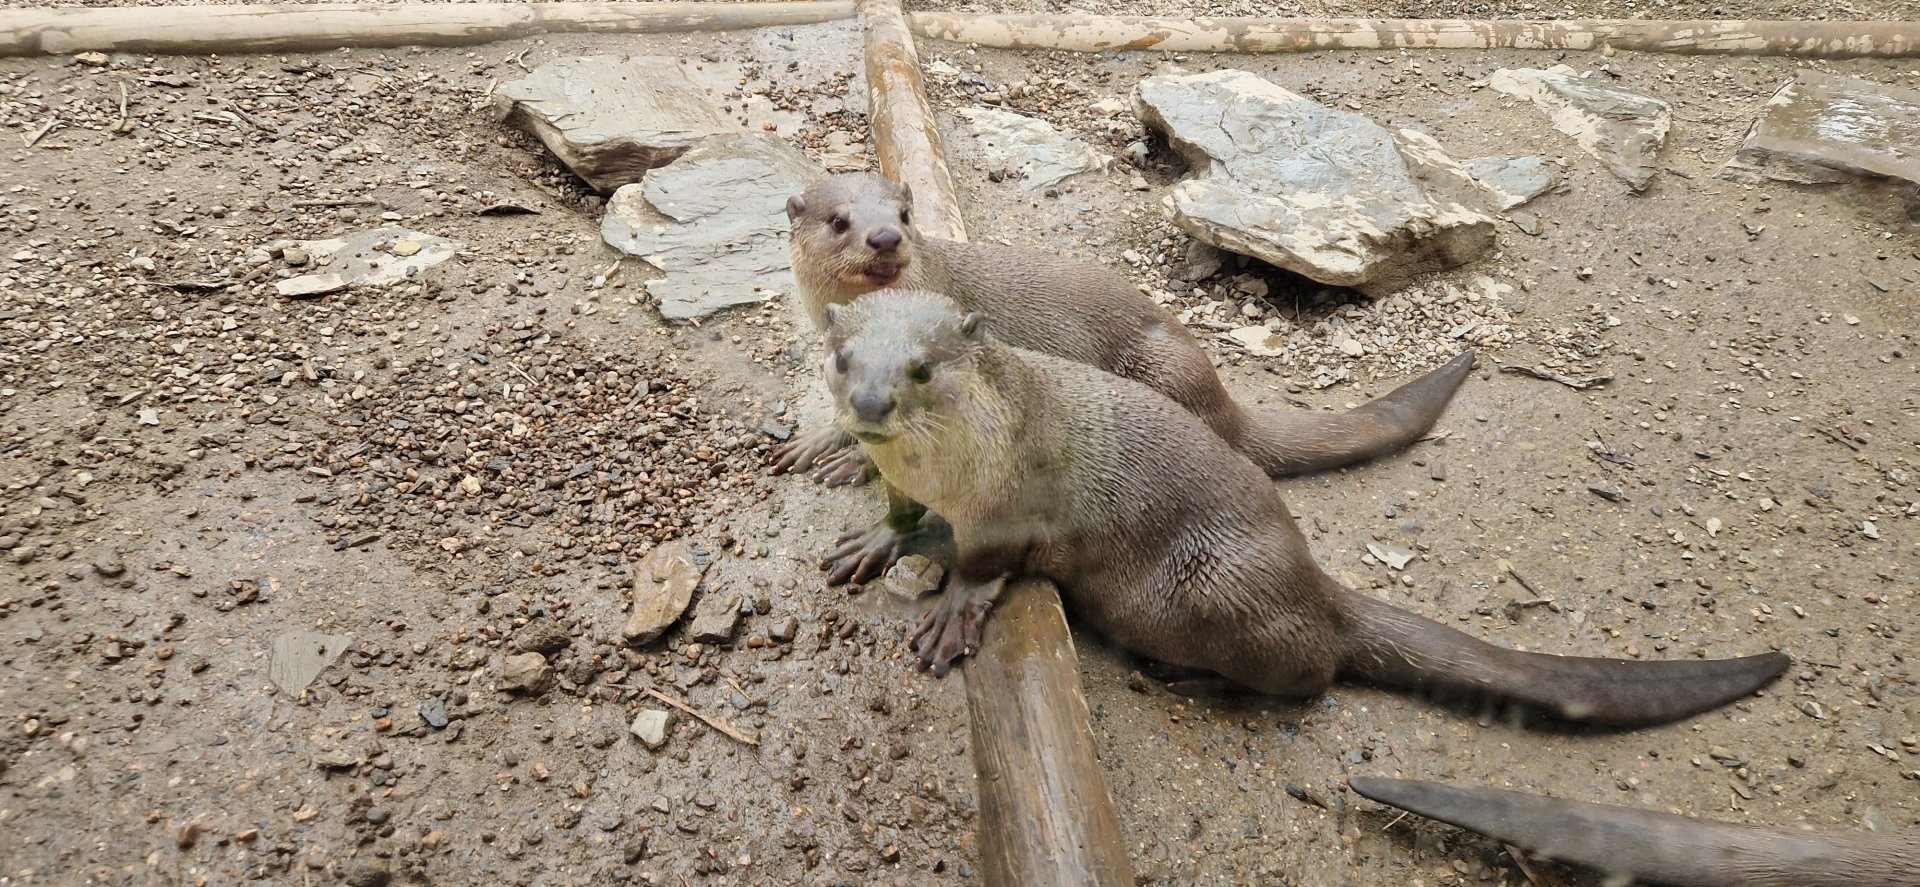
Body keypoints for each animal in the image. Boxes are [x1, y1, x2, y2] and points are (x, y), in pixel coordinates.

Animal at [772, 171, 1476, 488]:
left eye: (903, 214)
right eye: (839, 220)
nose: (884, 237)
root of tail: (1223, 402)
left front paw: (855, 462)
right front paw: (820, 439)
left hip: (1158, 366)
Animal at [820, 289, 1789, 727]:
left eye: (921, 369)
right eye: (842, 360)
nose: (868, 403)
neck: (952, 467)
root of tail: (1316, 582)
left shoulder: (1009, 505)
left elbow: (983, 566)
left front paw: (951, 610)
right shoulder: (917, 485)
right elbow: (903, 516)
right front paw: (872, 538)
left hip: (1218, 585)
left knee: (1310, 673)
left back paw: (1185, 678)